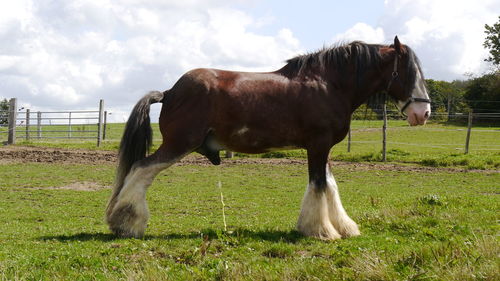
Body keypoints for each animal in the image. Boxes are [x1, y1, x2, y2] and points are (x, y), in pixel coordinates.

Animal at [105, 36, 430, 240]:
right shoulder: (318, 146)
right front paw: (321, 231)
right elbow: (319, 186)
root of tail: (170, 91)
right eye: (407, 72)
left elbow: (329, 185)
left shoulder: (322, 149)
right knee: (141, 170)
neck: (329, 84)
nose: (423, 113)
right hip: (178, 145)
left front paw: (343, 227)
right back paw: (126, 224)